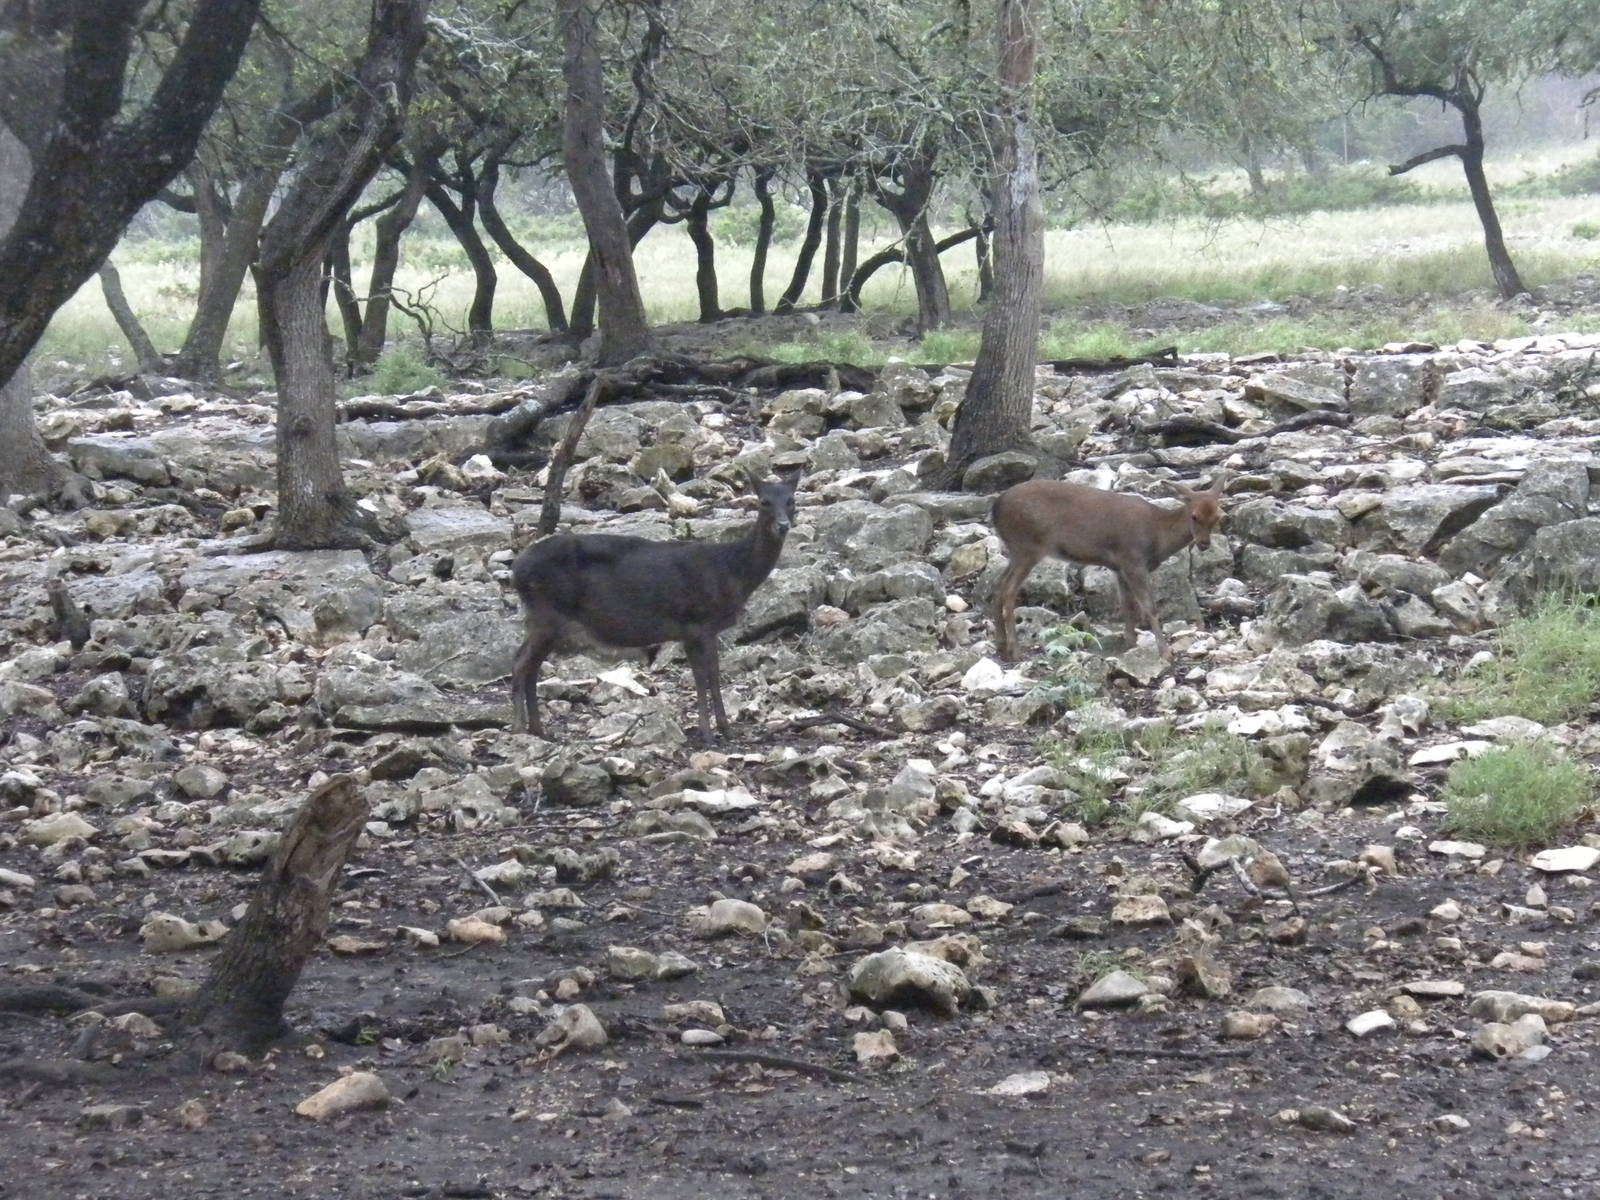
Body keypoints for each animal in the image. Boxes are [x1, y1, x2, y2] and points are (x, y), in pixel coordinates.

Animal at [509, 469, 801, 741]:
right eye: (763, 501)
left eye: (791, 500)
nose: (783, 525)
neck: (731, 571)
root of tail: (517, 570)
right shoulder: (697, 621)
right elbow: (704, 677)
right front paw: (708, 734)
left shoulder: (700, 630)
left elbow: (712, 675)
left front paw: (725, 730)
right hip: (547, 611)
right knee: (521, 663)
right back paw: (519, 728)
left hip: (545, 617)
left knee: (530, 666)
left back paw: (539, 730)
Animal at [990, 476, 1225, 662]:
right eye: (1194, 516)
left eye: (1218, 516)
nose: (1204, 544)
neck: (1157, 538)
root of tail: (995, 507)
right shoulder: (1133, 560)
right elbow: (1149, 607)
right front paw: (1165, 653)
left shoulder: (1120, 567)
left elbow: (1128, 605)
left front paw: (1130, 643)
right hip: (1027, 546)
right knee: (1008, 592)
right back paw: (1015, 651)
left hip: (1016, 550)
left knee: (997, 587)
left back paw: (1001, 646)